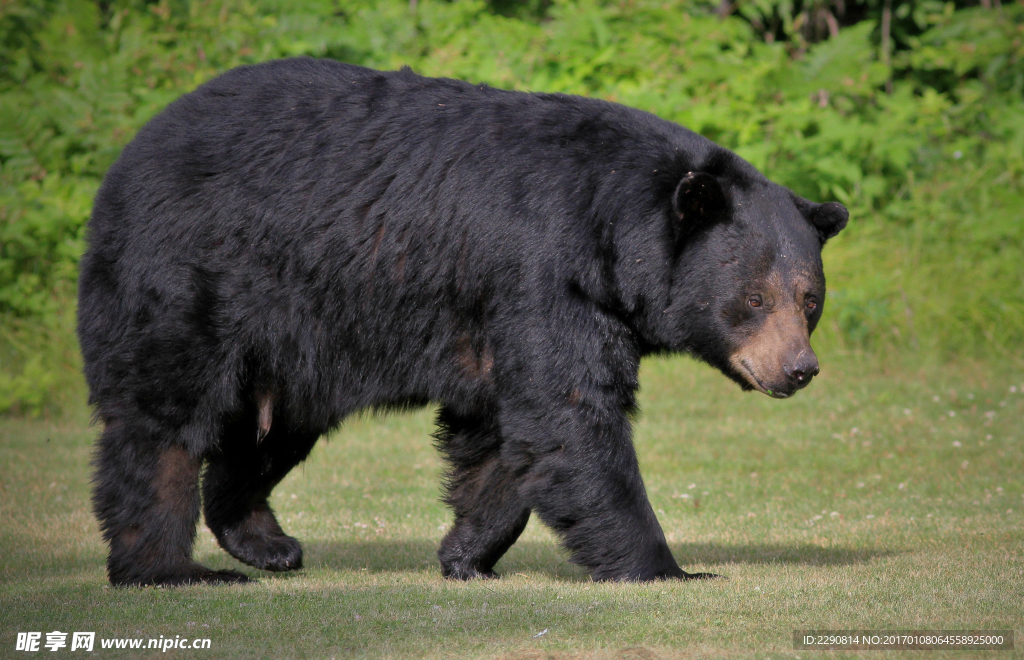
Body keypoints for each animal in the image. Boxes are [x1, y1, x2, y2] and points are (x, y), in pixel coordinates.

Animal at [77, 57, 847, 586]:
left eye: (809, 297)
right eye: (754, 297)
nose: (799, 369)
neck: (609, 229)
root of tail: (129, 156)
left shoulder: (511, 313)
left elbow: (507, 434)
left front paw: (466, 552)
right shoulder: (542, 273)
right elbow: (570, 414)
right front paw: (664, 564)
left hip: (294, 345)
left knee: (269, 434)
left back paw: (267, 542)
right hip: (193, 279)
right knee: (163, 425)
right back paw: (169, 567)